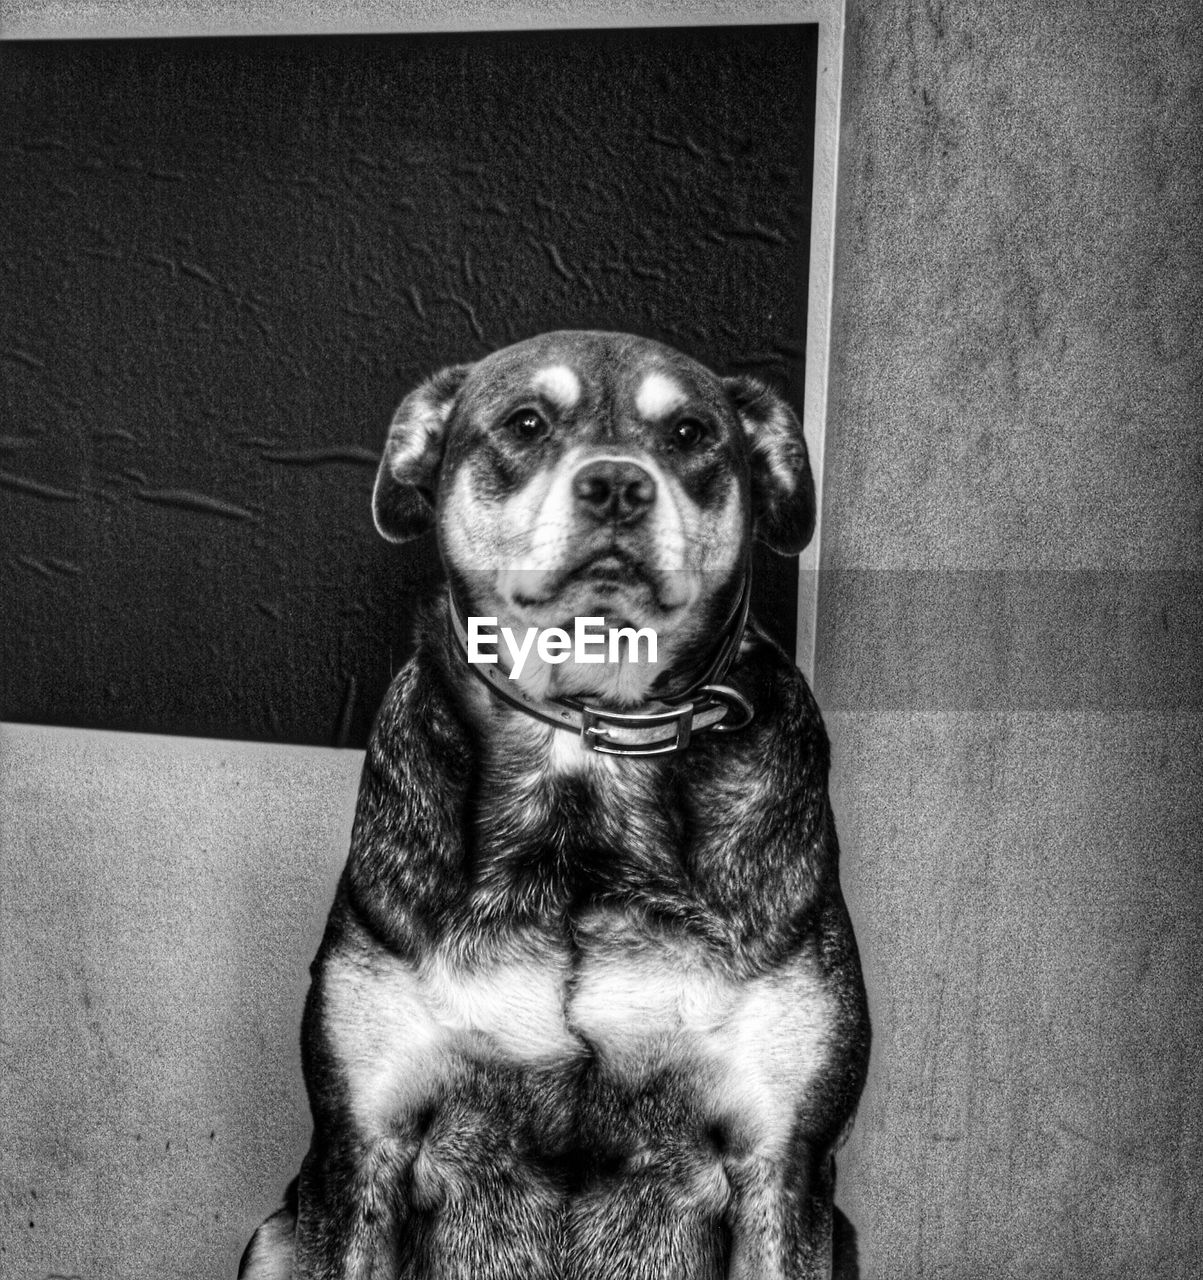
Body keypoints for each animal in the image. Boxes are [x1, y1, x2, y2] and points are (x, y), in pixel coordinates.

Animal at [239, 332, 870, 1280]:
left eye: (690, 432)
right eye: (526, 424)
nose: (616, 484)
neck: (585, 744)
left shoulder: (782, 1159)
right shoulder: (363, 1143)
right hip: (276, 1230)